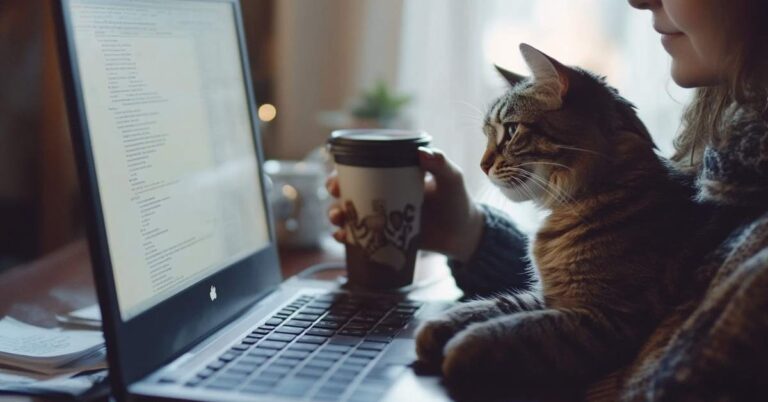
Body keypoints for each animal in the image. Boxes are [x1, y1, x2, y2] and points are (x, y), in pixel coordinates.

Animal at [416, 44, 700, 398]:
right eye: (486, 134)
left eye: (511, 131)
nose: (482, 165)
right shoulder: (547, 296)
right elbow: (495, 306)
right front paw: (439, 327)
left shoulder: (606, 317)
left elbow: (509, 332)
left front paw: (457, 348)